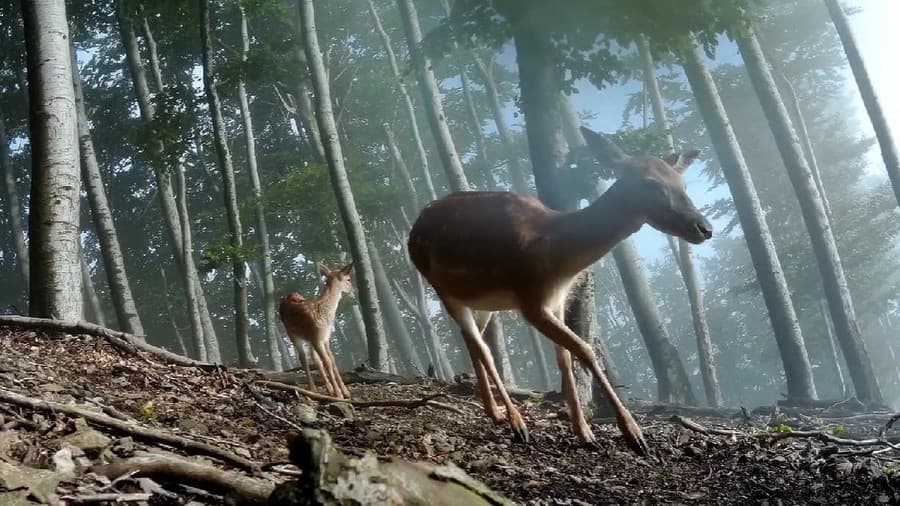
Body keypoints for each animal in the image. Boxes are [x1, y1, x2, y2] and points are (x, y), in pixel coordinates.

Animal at [280, 260, 354, 400]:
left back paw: (329, 389)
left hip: (309, 338)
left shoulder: (325, 338)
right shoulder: (317, 337)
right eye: (348, 279)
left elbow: (332, 361)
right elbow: (327, 362)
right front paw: (339, 394)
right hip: (292, 333)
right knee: (303, 358)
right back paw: (313, 388)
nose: (352, 289)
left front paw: (345, 392)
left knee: (314, 359)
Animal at [408, 127, 712, 454]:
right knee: (483, 348)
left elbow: (566, 358)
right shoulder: (531, 300)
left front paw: (584, 431)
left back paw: (496, 412)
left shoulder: (557, 300)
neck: (558, 256)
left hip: (482, 302)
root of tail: (413, 230)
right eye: (650, 183)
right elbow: (585, 348)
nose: (704, 228)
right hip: (442, 289)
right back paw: (517, 422)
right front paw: (633, 433)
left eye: (682, 183)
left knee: (472, 342)